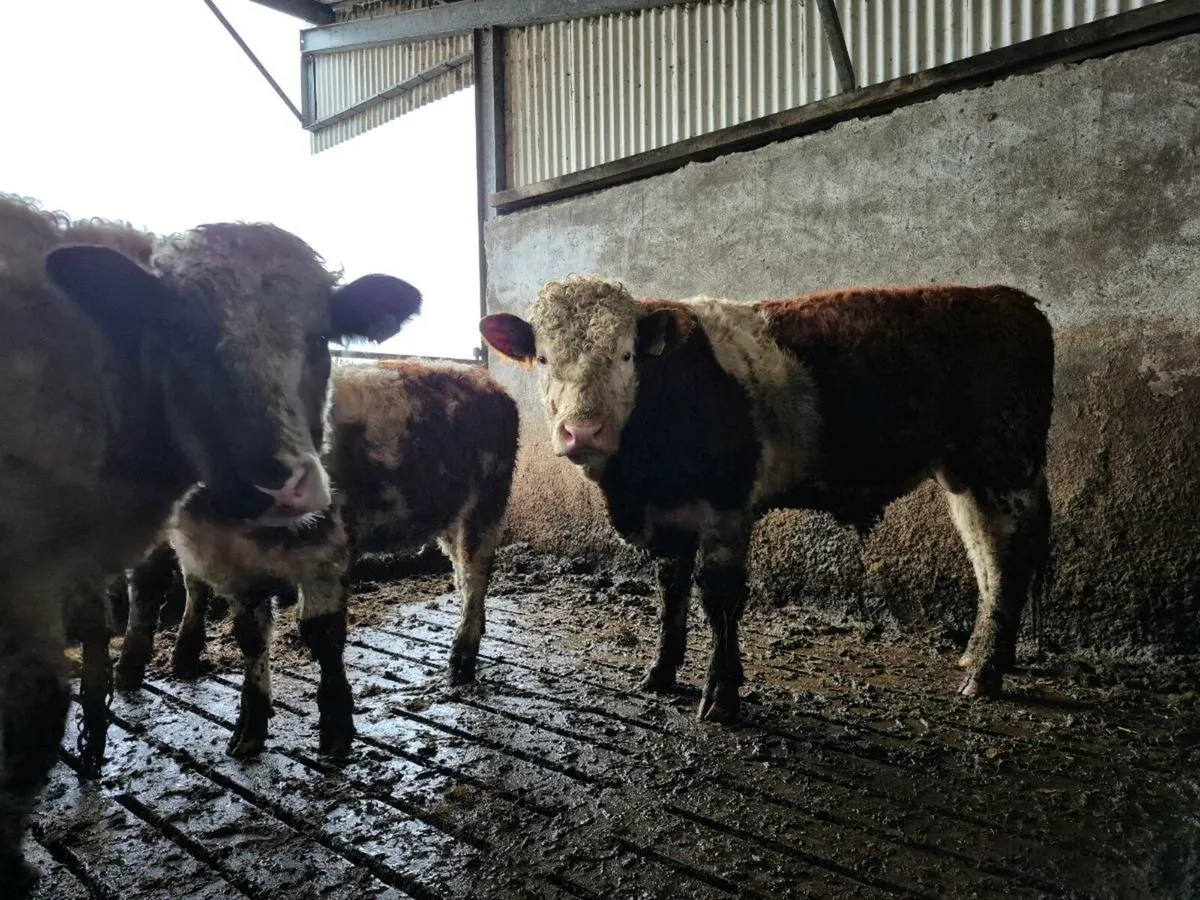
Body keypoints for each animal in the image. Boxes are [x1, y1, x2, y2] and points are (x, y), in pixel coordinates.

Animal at [0, 192, 420, 890]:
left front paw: (334, 727)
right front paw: (249, 725)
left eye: (320, 339)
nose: (273, 484)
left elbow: (319, 633)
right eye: (180, 337)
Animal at [114, 360, 519, 758]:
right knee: (461, 573)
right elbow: (249, 636)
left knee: (475, 573)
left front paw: (336, 728)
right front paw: (248, 729)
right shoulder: (239, 569)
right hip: (448, 515)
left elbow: (322, 633)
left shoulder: (324, 549)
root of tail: (485, 380)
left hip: (487, 502)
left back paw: (462, 657)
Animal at [481, 276, 1054, 724]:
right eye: (544, 358)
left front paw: (722, 695)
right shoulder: (669, 514)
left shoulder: (727, 507)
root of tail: (1011, 299)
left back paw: (986, 673)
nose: (583, 432)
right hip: (964, 476)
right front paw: (661, 673)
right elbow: (671, 592)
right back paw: (976, 656)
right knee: (985, 558)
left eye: (625, 355)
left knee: (1008, 557)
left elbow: (719, 598)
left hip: (1004, 466)